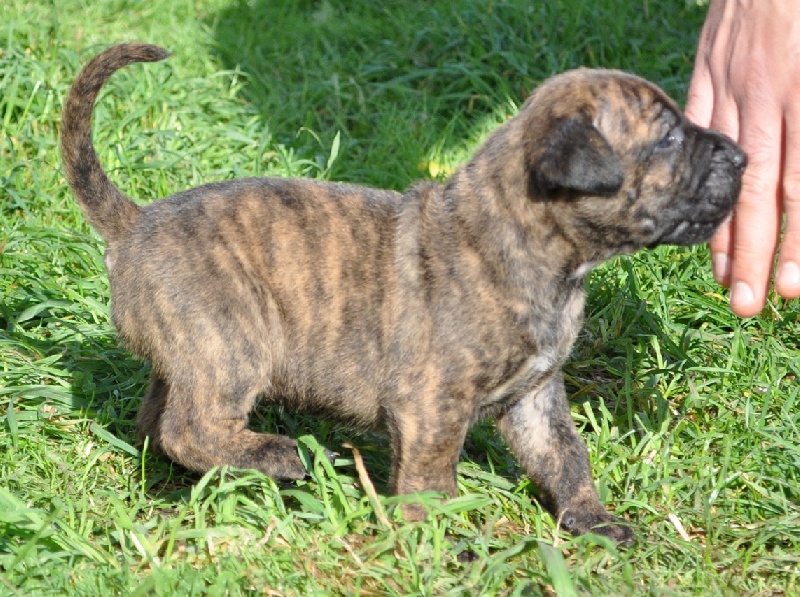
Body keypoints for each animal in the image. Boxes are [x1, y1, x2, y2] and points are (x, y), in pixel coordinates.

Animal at [61, 43, 745, 545]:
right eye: (668, 139)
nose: (741, 157)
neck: (532, 243)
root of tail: (135, 222)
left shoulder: (535, 396)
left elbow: (565, 456)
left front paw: (592, 520)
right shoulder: (432, 405)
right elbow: (432, 478)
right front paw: (448, 544)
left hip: (191, 353)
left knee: (157, 422)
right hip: (231, 345)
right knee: (189, 426)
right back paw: (279, 456)